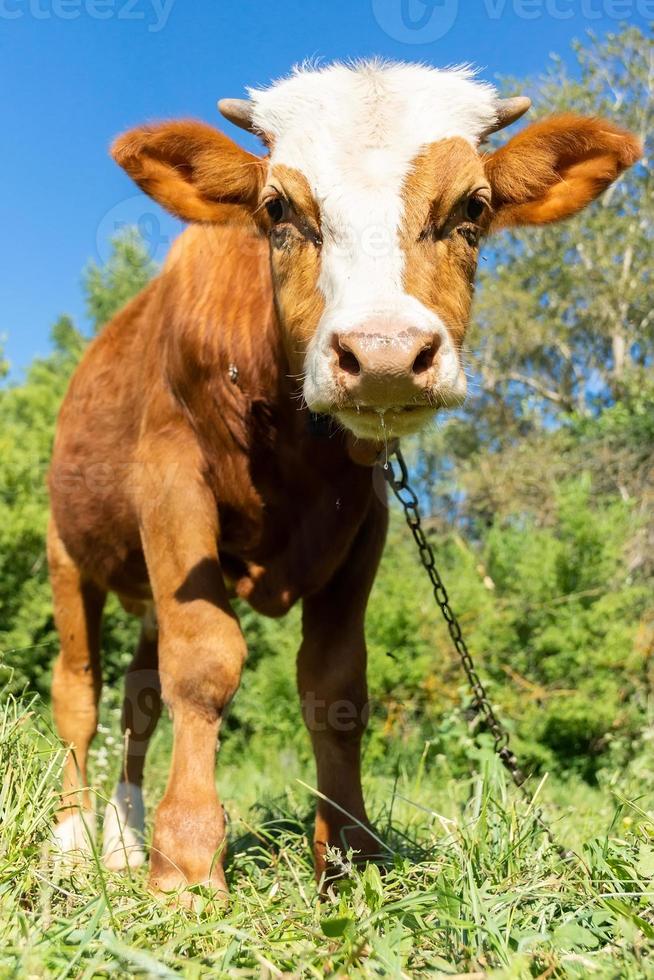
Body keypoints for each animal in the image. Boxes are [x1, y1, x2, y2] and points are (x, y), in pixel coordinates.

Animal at [48, 59, 644, 896]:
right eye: (278, 209)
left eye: (474, 207)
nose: (385, 353)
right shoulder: (171, 483)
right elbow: (203, 663)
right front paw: (189, 859)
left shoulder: (367, 516)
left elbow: (334, 686)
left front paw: (352, 854)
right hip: (68, 550)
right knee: (79, 691)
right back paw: (75, 839)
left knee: (136, 698)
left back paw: (123, 836)